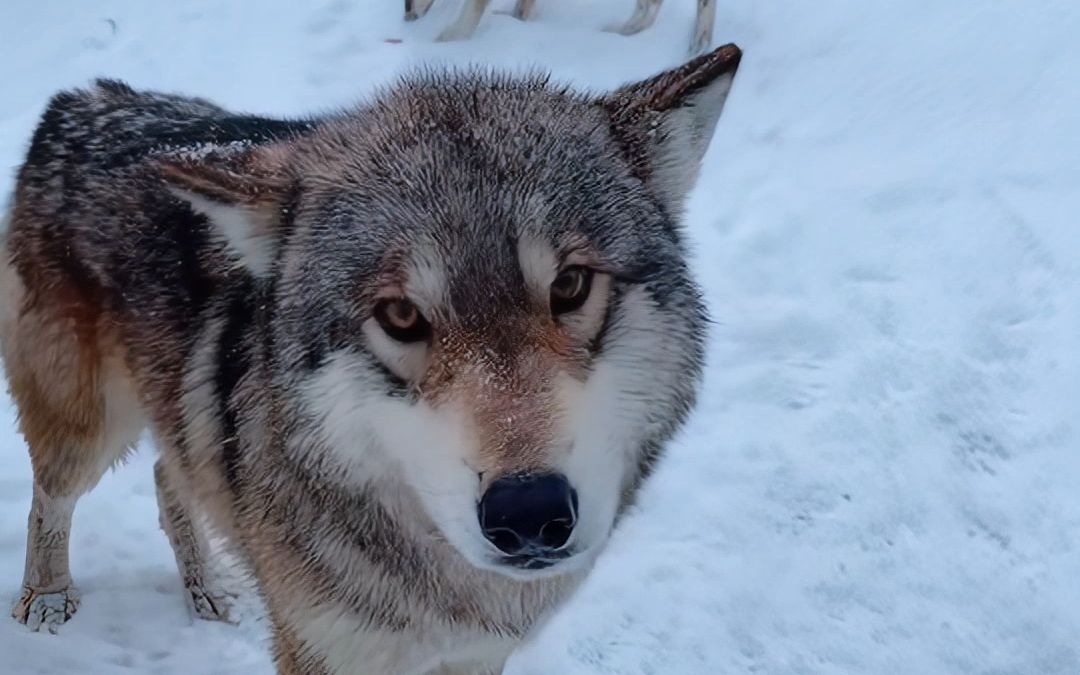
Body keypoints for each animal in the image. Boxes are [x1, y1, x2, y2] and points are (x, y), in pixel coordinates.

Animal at [2, 44, 743, 669]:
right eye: (401, 316)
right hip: (88, 428)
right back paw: (47, 598)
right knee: (51, 497)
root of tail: (78, 101)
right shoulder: (324, 649)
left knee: (166, 474)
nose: (529, 513)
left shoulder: (475, 654)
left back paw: (207, 589)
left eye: (569, 286)